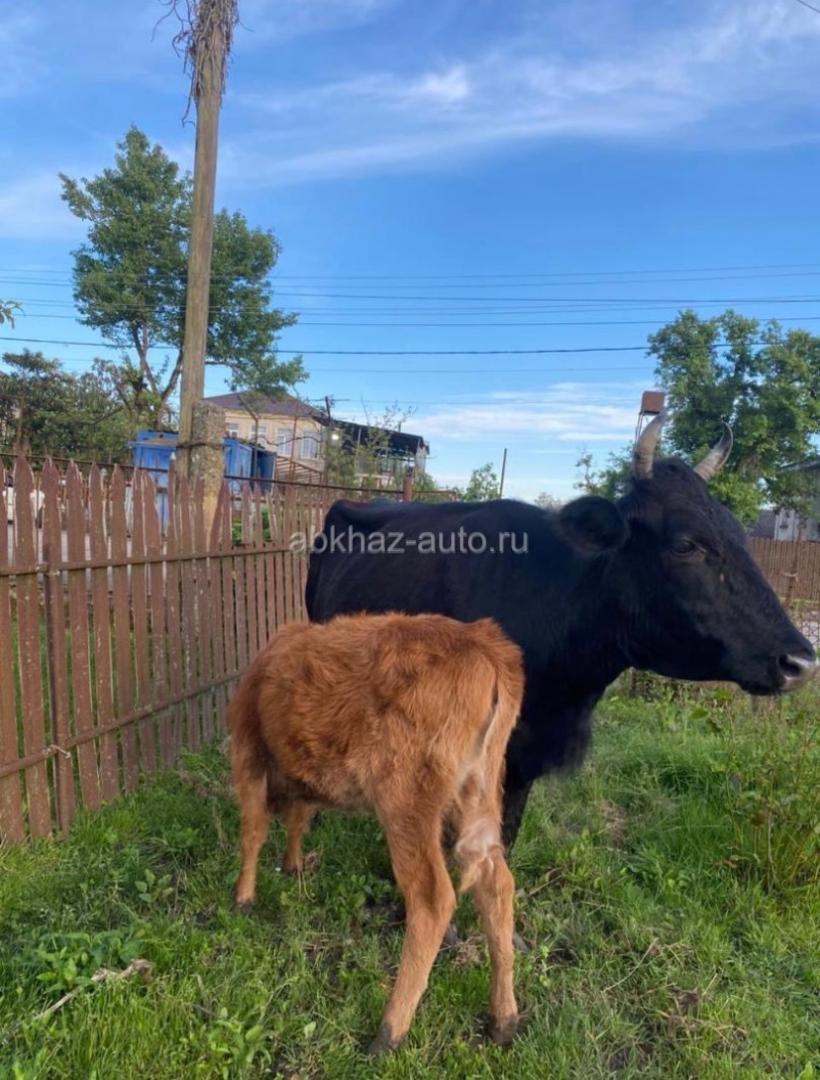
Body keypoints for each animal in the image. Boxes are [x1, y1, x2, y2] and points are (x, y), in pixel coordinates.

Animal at [229, 612, 525, 1054]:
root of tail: (484, 644)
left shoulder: (249, 753)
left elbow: (253, 831)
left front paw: (244, 898)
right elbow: (298, 818)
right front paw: (294, 865)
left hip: (406, 802)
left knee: (433, 898)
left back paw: (389, 1031)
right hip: (477, 791)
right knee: (497, 885)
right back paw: (503, 1018)